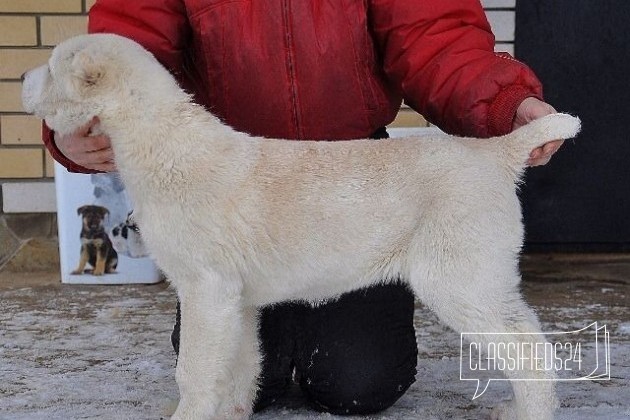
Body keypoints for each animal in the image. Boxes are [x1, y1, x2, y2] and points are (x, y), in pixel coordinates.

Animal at [21, 33, 584, 420]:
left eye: (50, 68)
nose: (22, 79)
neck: (163, 143)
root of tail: (496, 154)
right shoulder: (234, 301)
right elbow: (239, 367)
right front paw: (231, 413)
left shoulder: (206, 288)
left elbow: (195, 371)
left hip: (462, 281)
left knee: (527, 348)